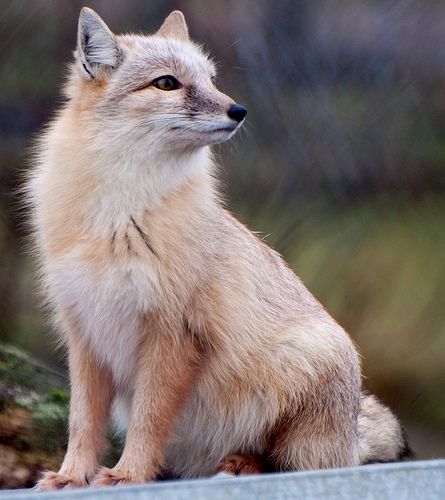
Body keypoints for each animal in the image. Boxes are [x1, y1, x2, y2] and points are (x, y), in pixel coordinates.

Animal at [28, 8, 410, 492]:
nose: (239, 110)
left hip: (305, 366)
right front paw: (72, 476)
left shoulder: (173, 334)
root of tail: (349, 437)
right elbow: (81, 421)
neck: (116, 217)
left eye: (211, 80)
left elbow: (148, 419)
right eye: (167, 83)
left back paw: (242, 462)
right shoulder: (85, 332)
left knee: (293, 462)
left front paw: (129, 475)